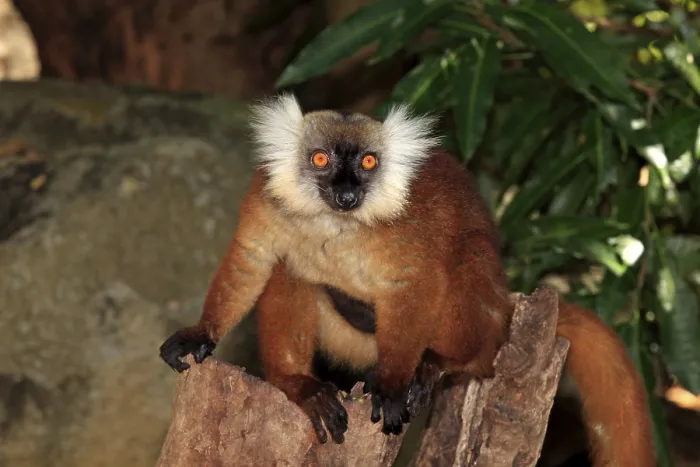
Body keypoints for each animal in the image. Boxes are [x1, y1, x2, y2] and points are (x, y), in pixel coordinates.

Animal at [159, 94, 655, 466]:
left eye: (368, 162)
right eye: (320, 159)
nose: (347, 193)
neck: (337, 222)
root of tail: (507, 310)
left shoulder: (406, 231)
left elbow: (416, 284)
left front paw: (395, 385)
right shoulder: (265, 198)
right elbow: (253, 259)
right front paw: (200, 334)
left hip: (479, 321)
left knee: (468, 263)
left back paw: (444, 362)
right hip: (353, 342)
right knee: (290, 269)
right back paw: (298, 384)